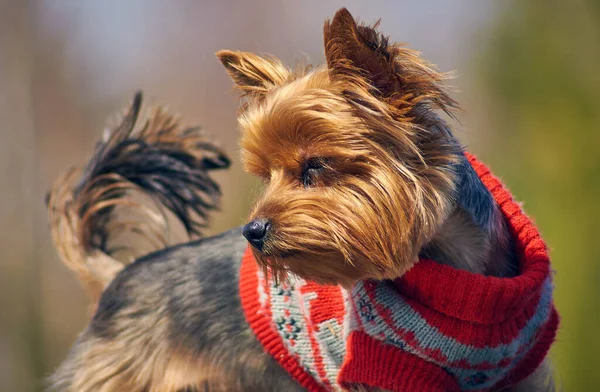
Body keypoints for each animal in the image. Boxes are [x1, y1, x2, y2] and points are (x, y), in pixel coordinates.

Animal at [45, 7, 556, 390]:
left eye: (313, 167)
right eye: (265, 176)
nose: (252, 231)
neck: (463, 277)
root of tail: (117, 277)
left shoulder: (523, 376)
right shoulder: (380, 370)